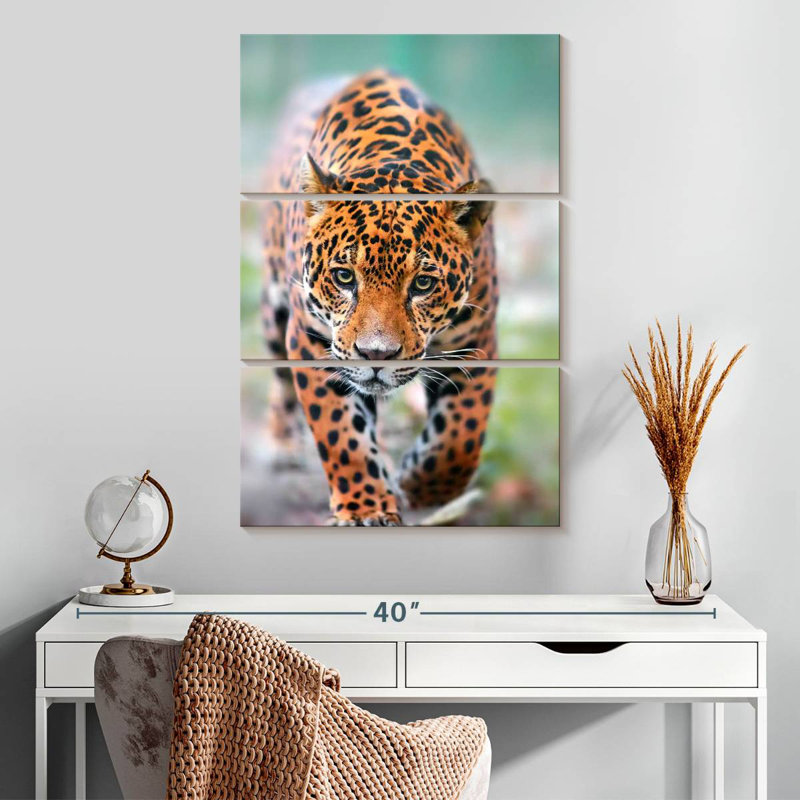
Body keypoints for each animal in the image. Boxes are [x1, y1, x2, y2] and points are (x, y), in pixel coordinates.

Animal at [258, 70, 498, 526]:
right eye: (344, 277)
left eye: (422, 284)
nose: (376, 356)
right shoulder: (312, 341)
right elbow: (340, 433)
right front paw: (366, 507)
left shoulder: (476, 341)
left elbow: (460, 436)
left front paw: (419, 487)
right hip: (273, 309)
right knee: (278, 378)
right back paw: (280, 444)